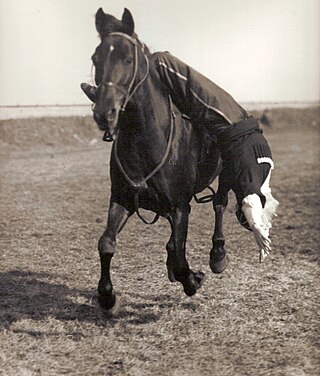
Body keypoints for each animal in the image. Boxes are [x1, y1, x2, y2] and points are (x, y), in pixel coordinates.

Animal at [81, 8, 229, 314]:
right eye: (95, 58)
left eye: (128, 58)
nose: (104, 112)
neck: (147, 139)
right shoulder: (122, 199)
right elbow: (106, 243)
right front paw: (107, 297)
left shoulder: (180, 206)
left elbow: (180, 254)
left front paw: (193, 279)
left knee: (220, 204)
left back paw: (218, 254)